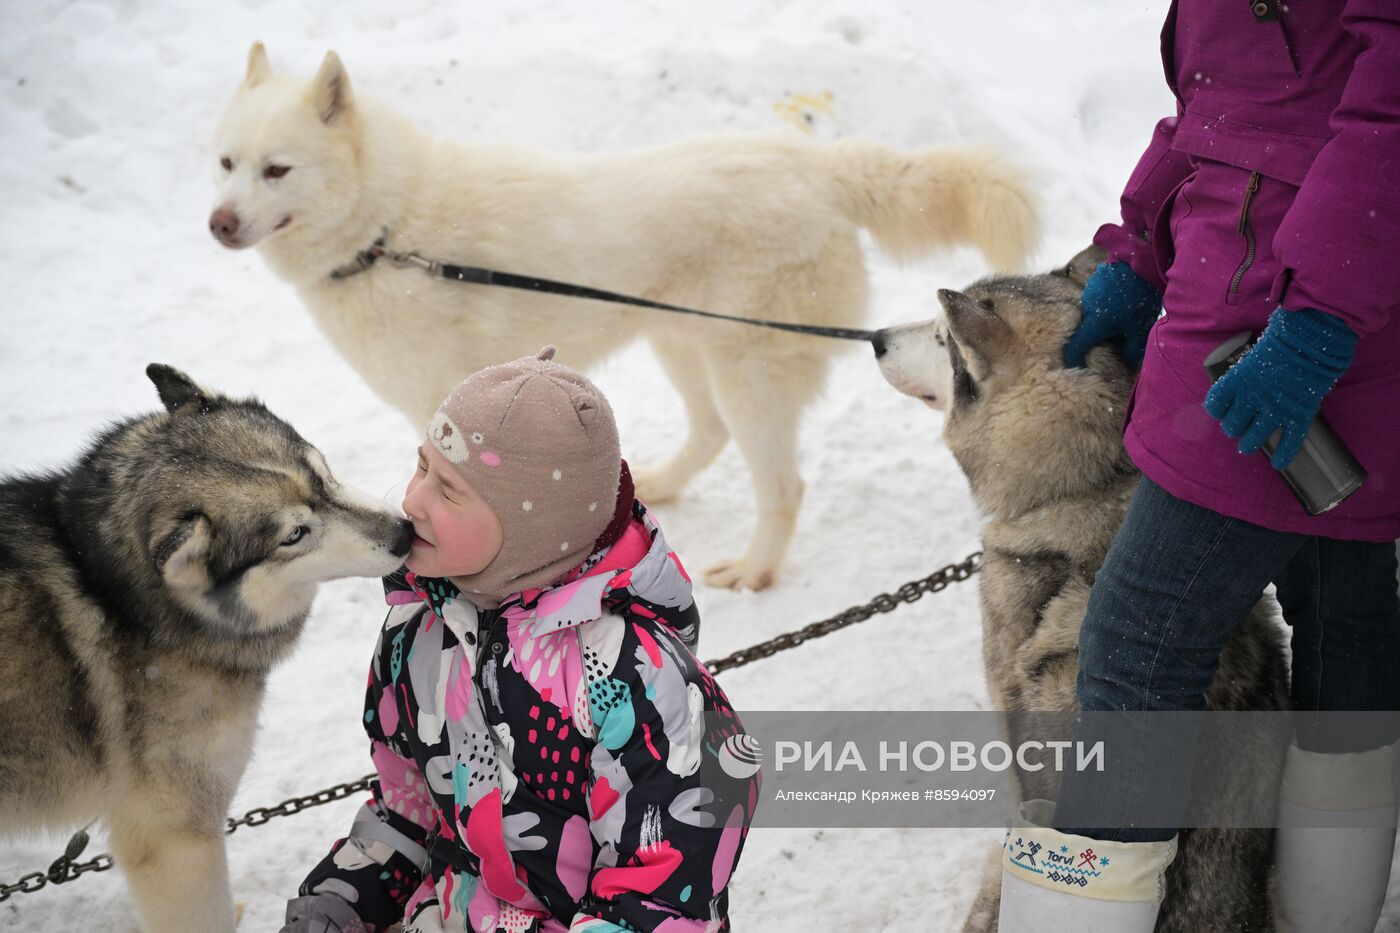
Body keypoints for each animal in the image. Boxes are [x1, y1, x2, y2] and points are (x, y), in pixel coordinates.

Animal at [210, 41, 1041, 588]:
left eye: (276, 170)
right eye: (225, 163)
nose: (218, 223)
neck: (390, 227)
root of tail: (813, 163)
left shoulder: (438, 399)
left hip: (748, 370)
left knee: (782, 484)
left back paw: (754, 569)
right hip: (683, 345)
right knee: (707, 435)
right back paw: (662, 482)